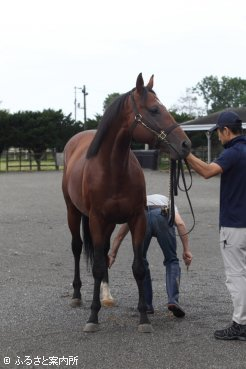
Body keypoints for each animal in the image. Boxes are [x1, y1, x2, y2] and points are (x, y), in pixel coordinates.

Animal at [61, 73, 190, 332]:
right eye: (154, 109)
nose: (185, 144)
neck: (113, 170)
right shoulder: (97, 220)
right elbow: (97, 266)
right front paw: (93, 317)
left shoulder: (136, 219)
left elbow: (137, 268)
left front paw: (143, 319)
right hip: (74, 212)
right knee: (78, 248)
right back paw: (77, 295)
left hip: (108, 223)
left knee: (103, 251)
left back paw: (106, 296)